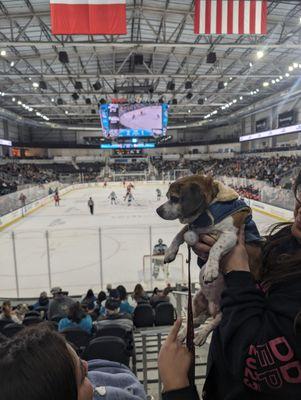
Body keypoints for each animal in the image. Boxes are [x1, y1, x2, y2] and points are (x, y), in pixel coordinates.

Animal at [156, 175, 258, 346]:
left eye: (174, 198)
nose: (157, 210)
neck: (208, 212)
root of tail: (212, 307)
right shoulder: (193, 226)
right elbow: (180, 234)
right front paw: (170, 252)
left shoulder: (230, 235)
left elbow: (215, 248)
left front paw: (210, 269)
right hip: (197, 299)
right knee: (195, 320)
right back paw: (184, 333)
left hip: (225, 310)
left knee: (213, 322)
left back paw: (201, 335)